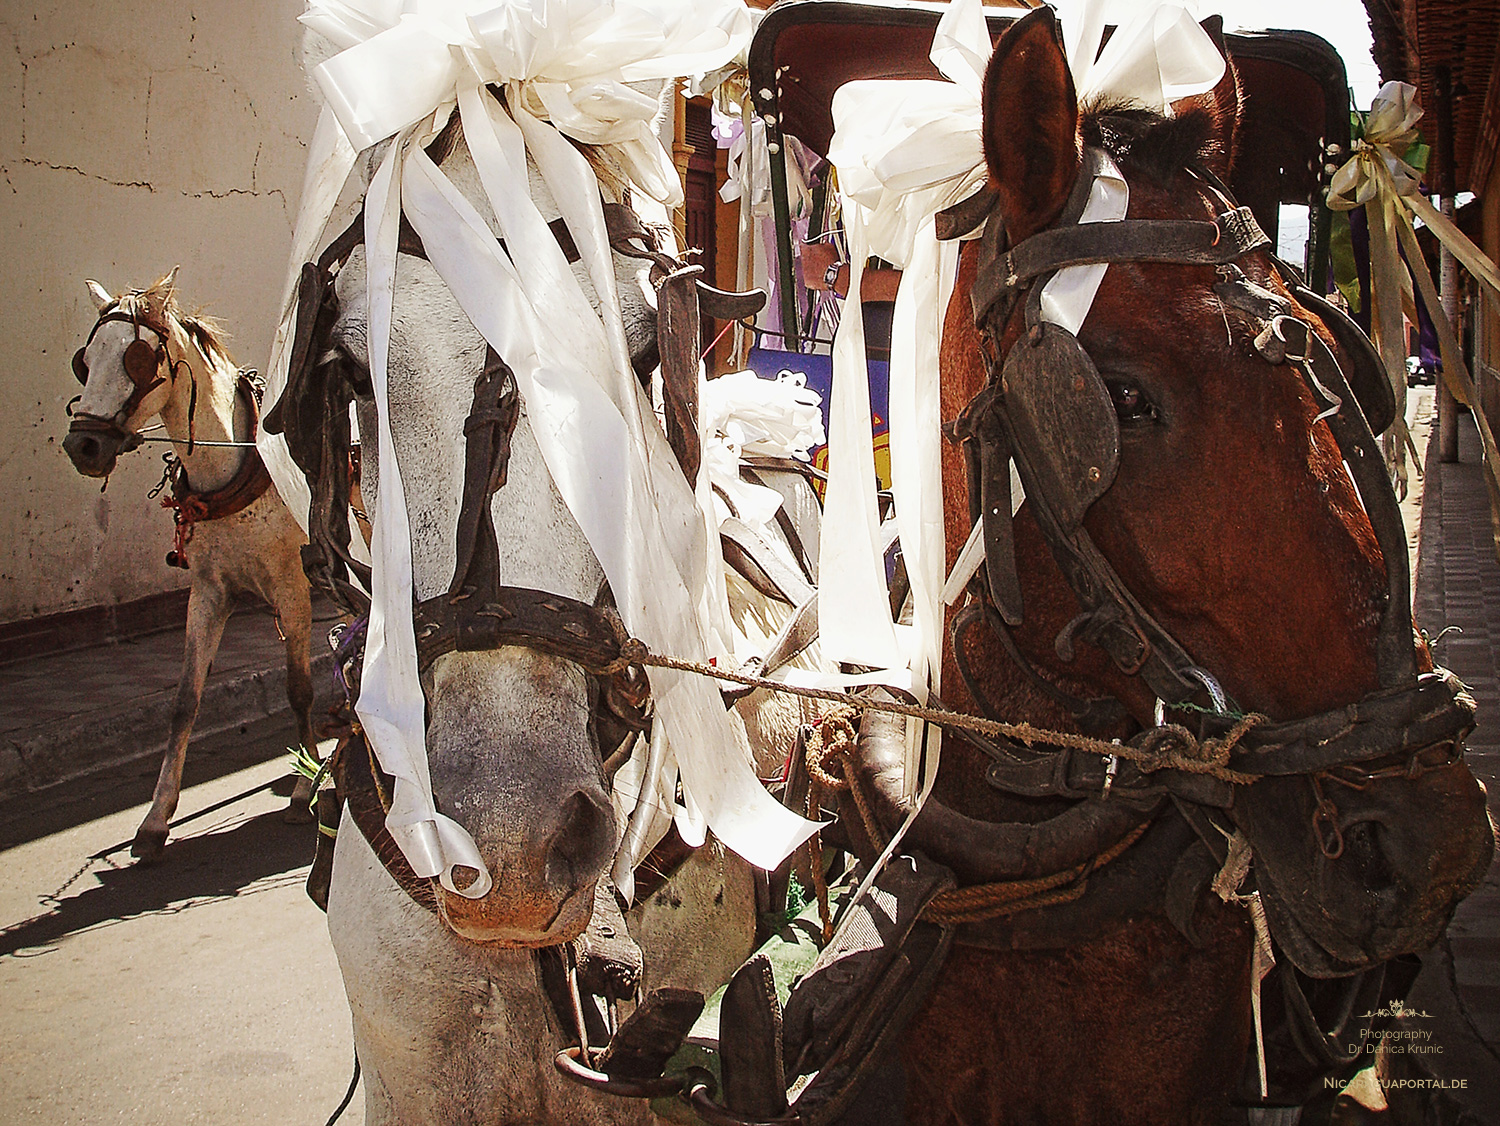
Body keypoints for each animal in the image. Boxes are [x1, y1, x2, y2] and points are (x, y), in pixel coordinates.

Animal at [63, 277, 318, 857]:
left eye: (137, 359)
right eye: (85, 361)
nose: (83, 445)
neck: (238, 461)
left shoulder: (293, 585)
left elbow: (299, 688)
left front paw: (305, 788)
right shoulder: (208, 592)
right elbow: (184, 701)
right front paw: (156, 817)